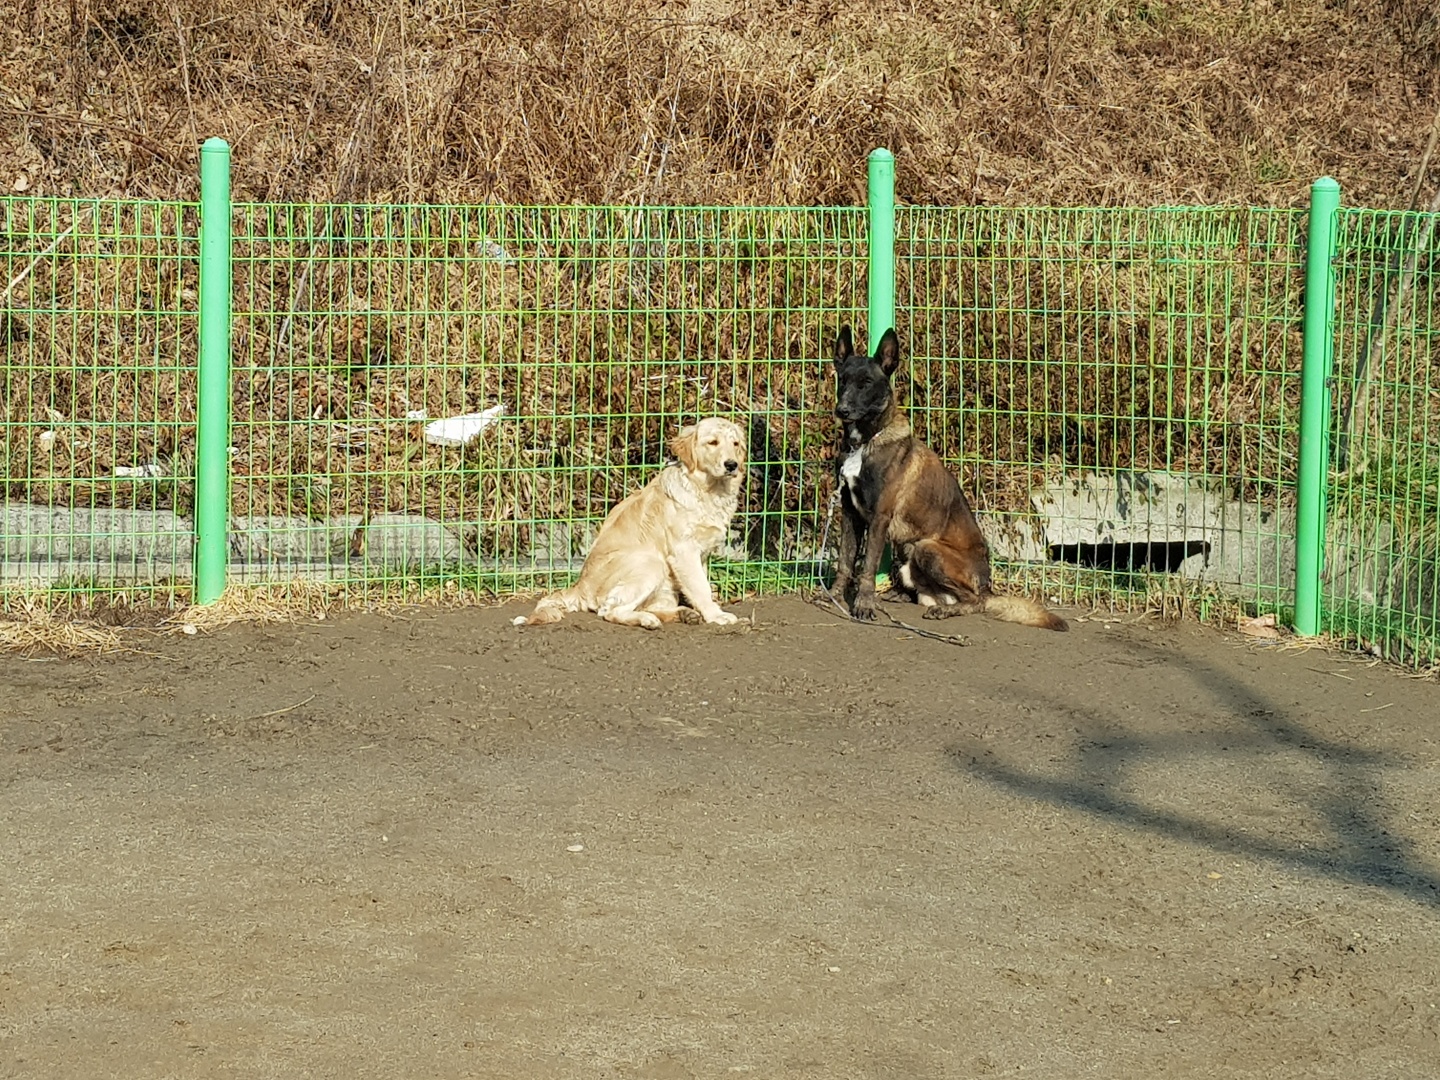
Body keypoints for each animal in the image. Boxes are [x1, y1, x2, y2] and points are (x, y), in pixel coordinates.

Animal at [515, 417, 743, 633]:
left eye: (736, 444)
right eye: (712, 442)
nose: (732, 465)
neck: (709, 490)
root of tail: (579, 587)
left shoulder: (701, 554)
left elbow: (701, 584)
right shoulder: (684, 551)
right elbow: (701, 587)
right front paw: (716, 615)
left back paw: (682, 614)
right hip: (650, 563)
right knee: (611, 611)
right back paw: (648, 620)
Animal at [829, 328, 1065, 633]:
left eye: (866, 383)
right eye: (843, 379)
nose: (842, 410)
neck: (864, 442)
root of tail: (987, 585)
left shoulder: (879, 517)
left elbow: (868, 566)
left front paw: (864, 604)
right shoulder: (850, 514)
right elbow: (845, 561)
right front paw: (833, 596)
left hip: (927, 548)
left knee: (975, 601)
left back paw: (944, 610)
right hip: (910, 547)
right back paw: (903, 595)